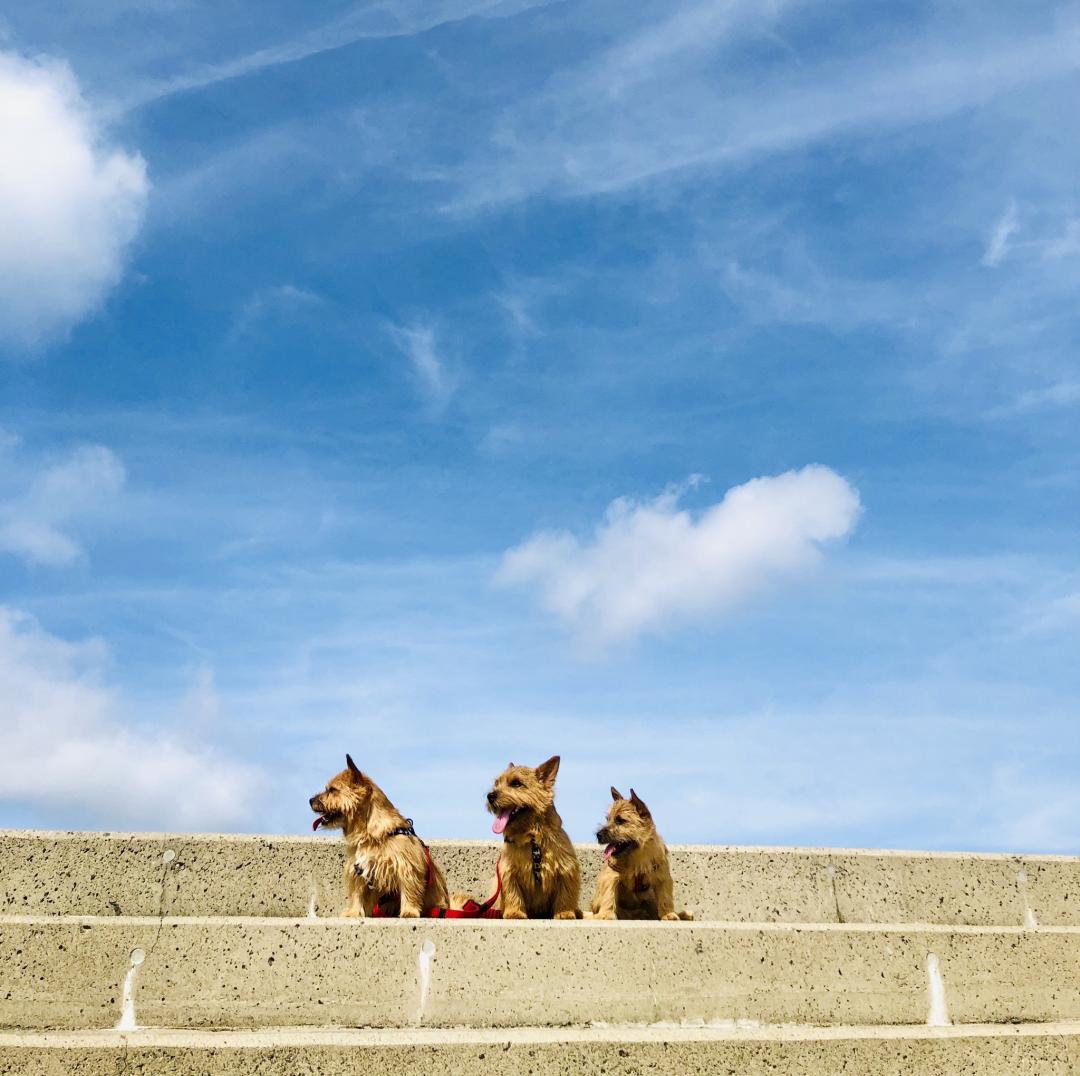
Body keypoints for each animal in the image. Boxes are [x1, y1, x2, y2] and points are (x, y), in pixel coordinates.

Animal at [311, 751, 449, 920]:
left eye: (332, 790)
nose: (310, 800)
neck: (370, 834)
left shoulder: (406, 866)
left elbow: (409, 889)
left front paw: (409, 911)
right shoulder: (357, 870)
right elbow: (357, 893)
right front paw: (353, 912)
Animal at [483, 756, 578, 916]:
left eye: (516, 783)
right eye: (496, 783)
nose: (490, 796)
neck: (532, 838)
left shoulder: (565, 868)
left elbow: (565, 893)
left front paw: (564, 913)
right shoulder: (509, 870)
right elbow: (512, 892)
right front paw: (515, 913)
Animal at [591, 786, 691, 920]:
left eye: (620, 820)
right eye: (608, 819)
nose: (598, 835)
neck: (637, 854)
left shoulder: (662, 876)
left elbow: (665, 897)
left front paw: (668, 914)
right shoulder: (611, 876)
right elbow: (609, 894)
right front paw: (606, 914)